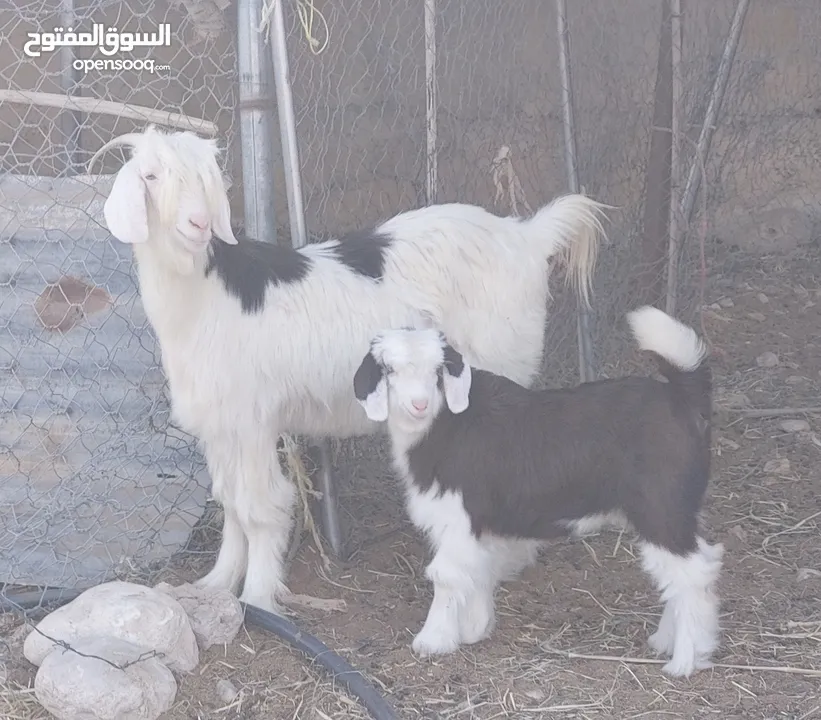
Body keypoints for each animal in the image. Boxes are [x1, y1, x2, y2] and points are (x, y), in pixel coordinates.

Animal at [91, 124, 608, 612]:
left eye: (206, 179)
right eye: (151, 176)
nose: (198, 223)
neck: (205, 295)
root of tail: (527, 236)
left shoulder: (253, 419)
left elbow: (259, 507)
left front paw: (257, 598)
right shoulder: (221, 426)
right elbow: (230, 502)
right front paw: (216, 583)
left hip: (500, 366)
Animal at [356, 306, 720, 676]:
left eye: (438, 371)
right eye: (389, 370)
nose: (419, 404)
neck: (445, 423)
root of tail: (682, 399)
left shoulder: (459, 516)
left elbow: (446, 575)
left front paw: (432, 640)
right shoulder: (480, 525)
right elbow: (479, 569)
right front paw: (475, 628)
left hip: (660, 509)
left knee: (692, 575)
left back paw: (685, 660)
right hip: (680, 510)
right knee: (697, 564)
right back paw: (668, 641)